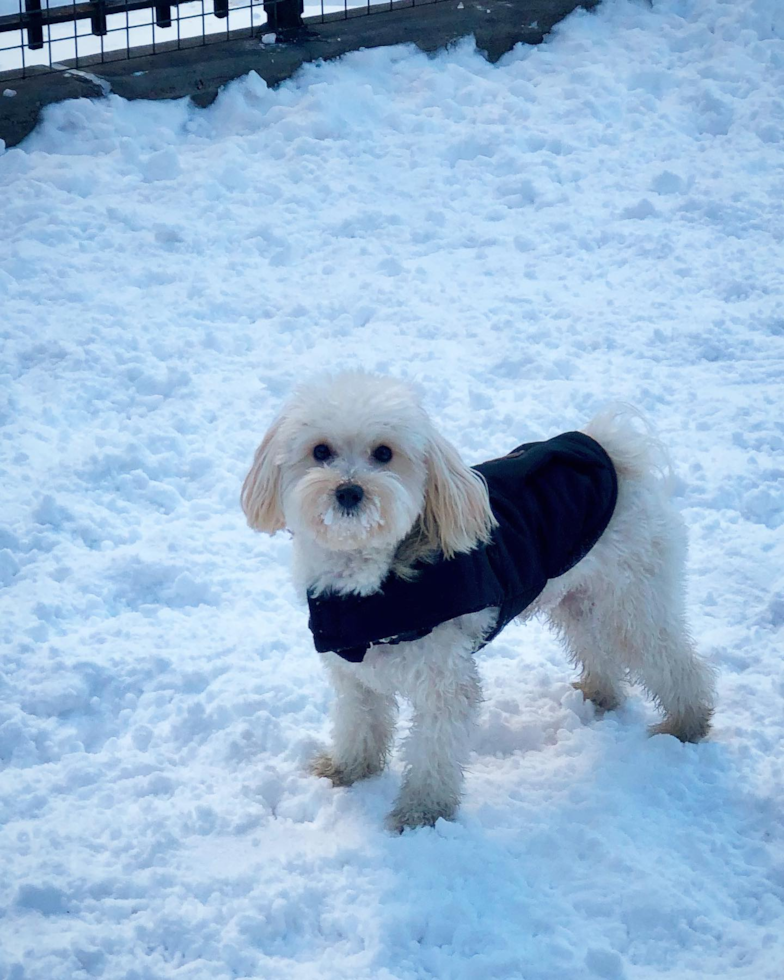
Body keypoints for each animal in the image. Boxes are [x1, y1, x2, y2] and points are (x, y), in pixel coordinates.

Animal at [243, 372, 716, 832]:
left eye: (384, 453)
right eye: (320, 451)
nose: (349, 491)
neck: (369, 587)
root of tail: (608, 447)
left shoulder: (443, 681)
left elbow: (434, 750)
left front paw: (422, 813)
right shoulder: (354, 672)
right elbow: (359, 724)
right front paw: (349, 770)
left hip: (633, 599)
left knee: (673, 660)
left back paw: (686, 724)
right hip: (578, 598)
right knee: (598, 648)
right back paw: (599, 695)